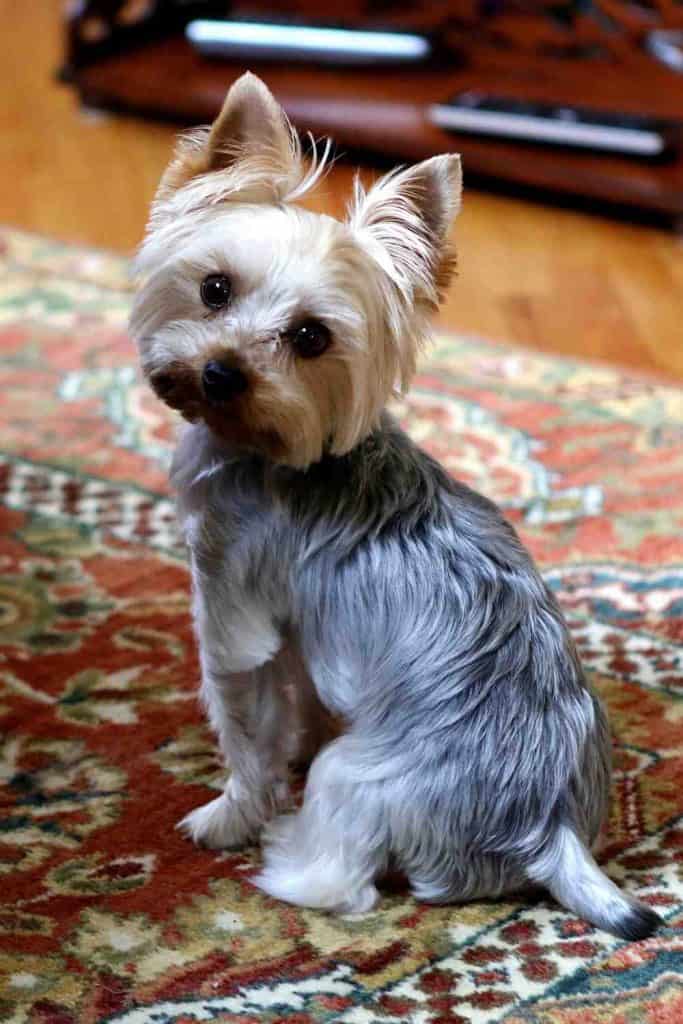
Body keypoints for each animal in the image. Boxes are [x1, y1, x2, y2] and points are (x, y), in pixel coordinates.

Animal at [129, 68, 663, 937]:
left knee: (340, 881)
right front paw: (288, 749)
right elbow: (297, 704)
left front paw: (228, 815)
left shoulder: (230, 610)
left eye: (310, 338)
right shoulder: (299, 632)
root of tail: (549, 830)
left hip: (360, 779)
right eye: (213, 289)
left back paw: (282, 854)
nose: (220, 372)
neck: (279, 453)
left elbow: (245, 731)